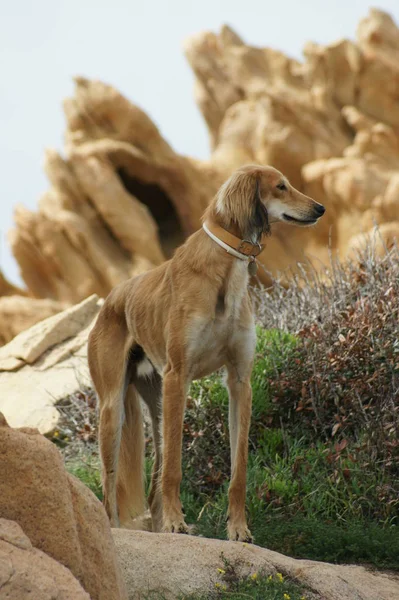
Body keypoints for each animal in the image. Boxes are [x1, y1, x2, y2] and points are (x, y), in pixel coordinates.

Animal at [87, 164, 324, 544]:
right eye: (280, 187)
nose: (320, 209)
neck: (226, 267)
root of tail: (112, 297)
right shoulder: (179, 375)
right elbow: (175, 468)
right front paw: (176, 523)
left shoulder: (240, 381)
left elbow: (239, 470)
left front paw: (238, 529)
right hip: (114, 408)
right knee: (111, 483)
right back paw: (118, 527)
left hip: (156, 405)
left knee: (153, 478)